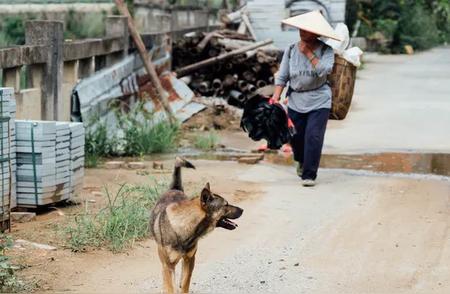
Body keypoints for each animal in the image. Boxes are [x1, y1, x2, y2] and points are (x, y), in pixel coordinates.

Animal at [150, 157, 243, 292]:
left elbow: (185, 283)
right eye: (225, 205)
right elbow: (170, 286)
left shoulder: (190, 259)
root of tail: (175, 188)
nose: (242, 210)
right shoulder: (168, 265)